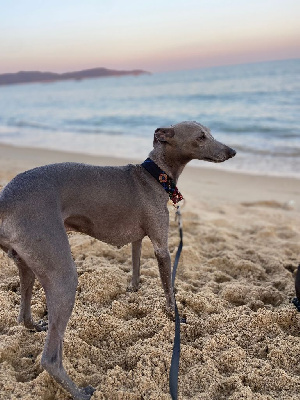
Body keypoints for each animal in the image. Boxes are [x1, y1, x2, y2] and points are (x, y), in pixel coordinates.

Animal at [0, 121, 234, 396]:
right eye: (201, 136)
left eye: (210, 133)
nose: (232, 152)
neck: (154, 176)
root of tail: (4, 201)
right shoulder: (161, 248)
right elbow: (168, 287)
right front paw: (173, 315)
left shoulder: (138, 239)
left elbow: (135, 267)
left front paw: (133, 289)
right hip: (62, 274)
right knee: (50, 358)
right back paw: (80, 393)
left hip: (27, 263)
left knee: (23, 316)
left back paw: (36, 326)